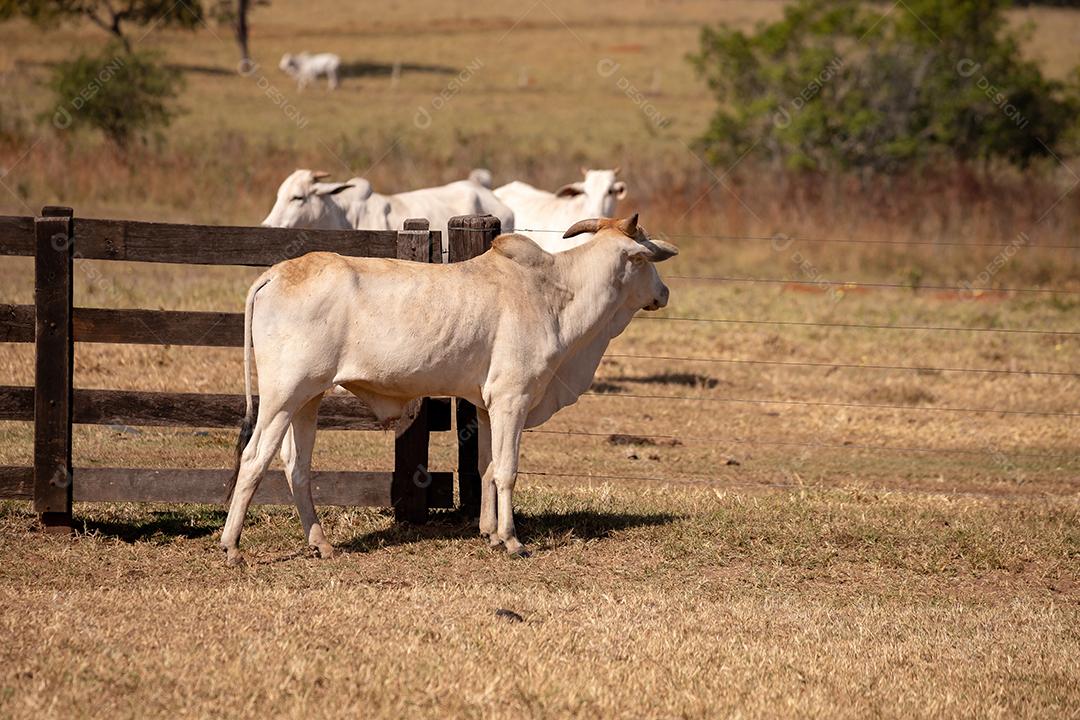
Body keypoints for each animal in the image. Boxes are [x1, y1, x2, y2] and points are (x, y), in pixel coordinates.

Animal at [219, 214, 677, 565]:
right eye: (645, 259)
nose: (665, 292)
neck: (555, 294)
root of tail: (276, 272)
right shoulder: (513, 399)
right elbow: (507, 470)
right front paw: (513, 541)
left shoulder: (489, 407)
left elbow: (487, 468)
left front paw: (490, 533)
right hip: (282, 396)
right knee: (254, 458)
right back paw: (232, 546)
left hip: (308, 398)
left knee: (296, 465)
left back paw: (321, 543)